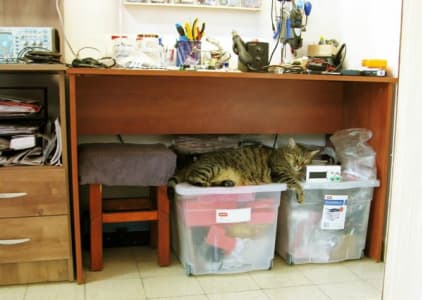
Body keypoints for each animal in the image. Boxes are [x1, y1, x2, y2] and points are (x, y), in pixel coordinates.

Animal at [167, 138, 316, 204]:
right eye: (296, 157)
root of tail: (193, 163)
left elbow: (297, 178)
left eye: (304, 161)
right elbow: (296, 183)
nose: (298, 165)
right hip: (213, 167)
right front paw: (301, 193)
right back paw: (206, 184)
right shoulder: (280, 173)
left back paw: (226, 183)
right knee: (194, 179)